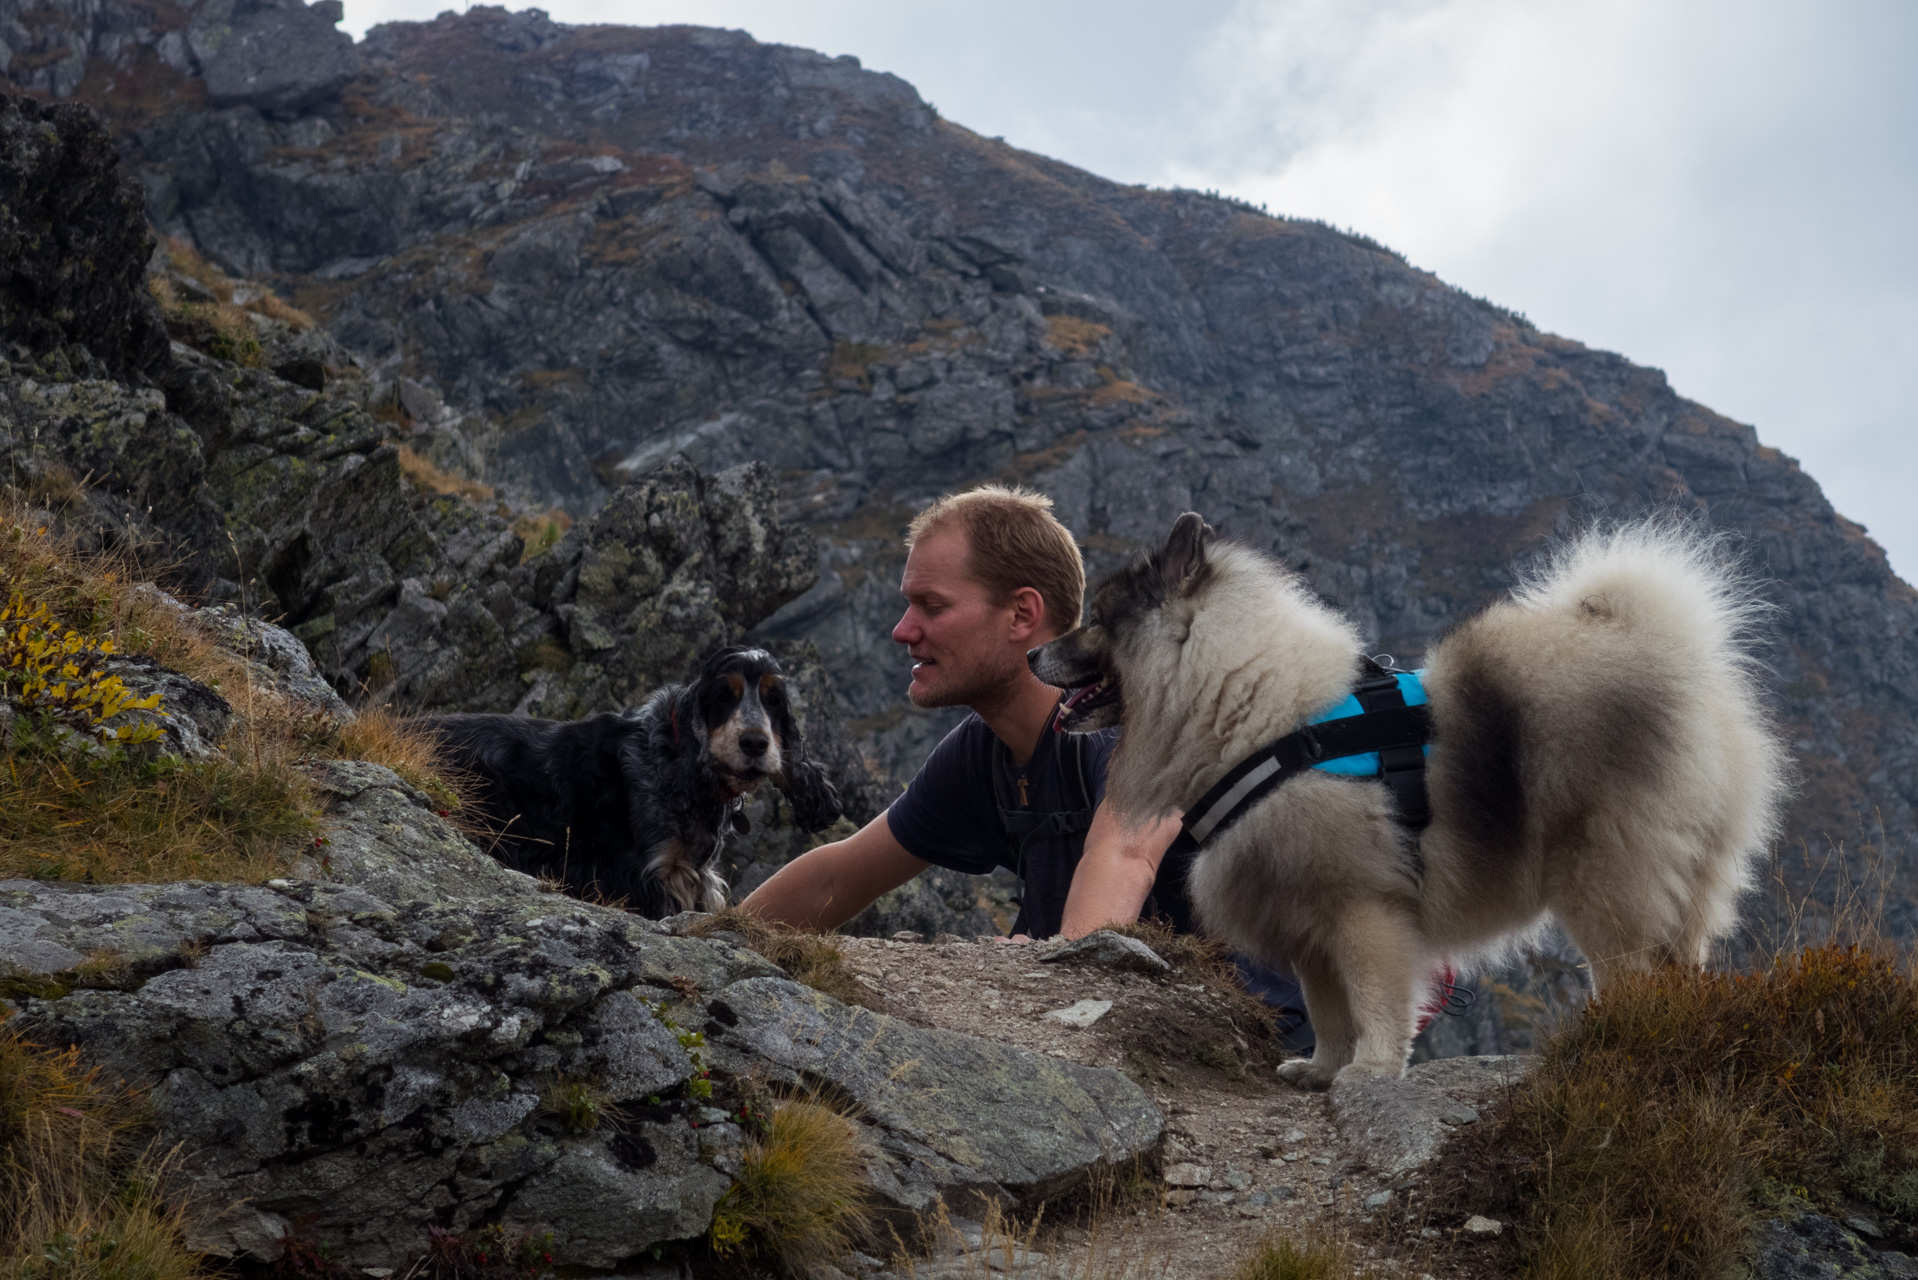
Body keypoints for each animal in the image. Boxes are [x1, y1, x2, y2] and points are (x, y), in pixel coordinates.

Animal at [1028, 514, 1787, 1090]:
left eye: (1098, 620)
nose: (1036, 656)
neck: (1251, 708)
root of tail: (1676, 663)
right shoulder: (1307, 919)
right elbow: (1328, 1010)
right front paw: (1321, 1069)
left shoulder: (1363, 910)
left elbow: (1375, 1002)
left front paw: (1369, 1071)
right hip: (1688, 884)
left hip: (1607, 882)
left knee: (1629, 975)